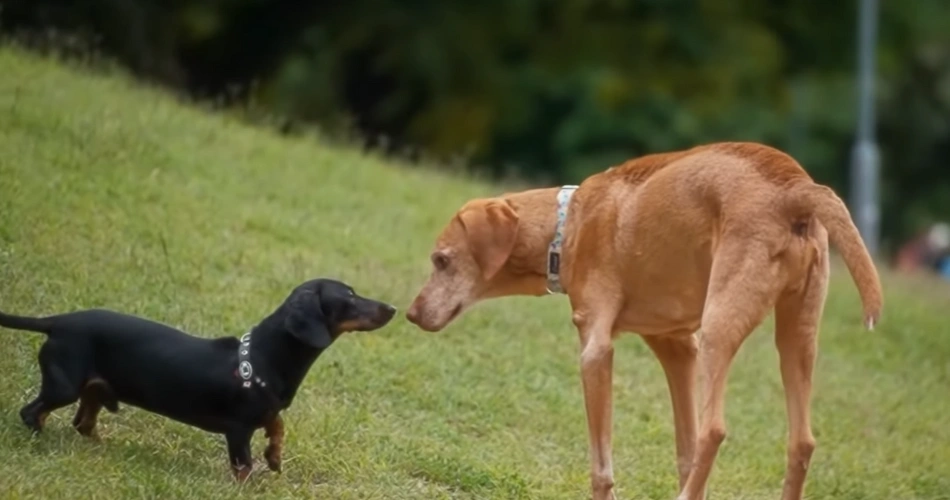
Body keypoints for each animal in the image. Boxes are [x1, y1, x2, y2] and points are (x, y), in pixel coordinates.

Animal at [408, 142, 884, 500]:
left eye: (441, 260)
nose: (410, 313)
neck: (569, 222)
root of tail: (794, 188)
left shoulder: (595, 352)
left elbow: (602, 468)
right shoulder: (677, 348)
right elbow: (685, 453)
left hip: (721, 326)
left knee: (715, 430)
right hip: (796, 337)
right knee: (800, 442)